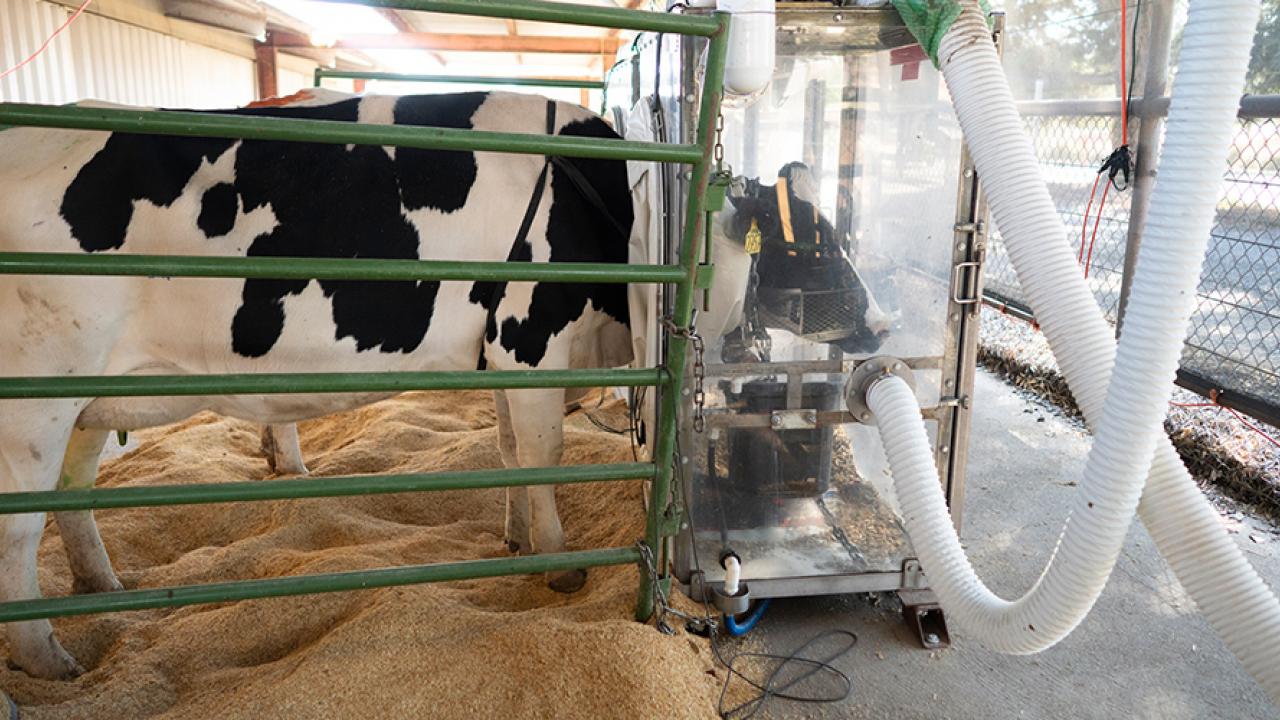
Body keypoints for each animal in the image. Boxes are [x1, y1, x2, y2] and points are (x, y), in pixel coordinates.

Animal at [0, 87, 637, 676]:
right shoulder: (533, 336)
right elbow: (543, 454)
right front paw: (561, 565)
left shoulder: (501, 349)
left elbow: (512, 453)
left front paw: (519, 543)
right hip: (32, 402)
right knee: (19, 529)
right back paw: (47, 659)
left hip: (85, 398)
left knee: (72, 490)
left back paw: (101, 586)